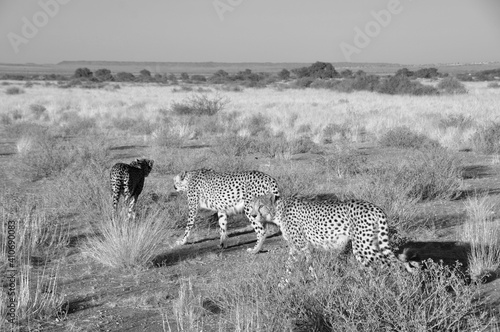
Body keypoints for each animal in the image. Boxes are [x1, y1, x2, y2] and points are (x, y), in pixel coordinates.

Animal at [248, 193, 416, 278]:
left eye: (261, 205)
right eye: (251, 206)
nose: (253, 215)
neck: (278, 210)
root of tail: (375, 207)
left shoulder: (302, 245)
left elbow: (301, 264)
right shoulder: (297, 247)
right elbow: (292, 265)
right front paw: (283, 285)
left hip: (362, 246)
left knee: (391, 263)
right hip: (370, 243)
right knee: (379, 265)